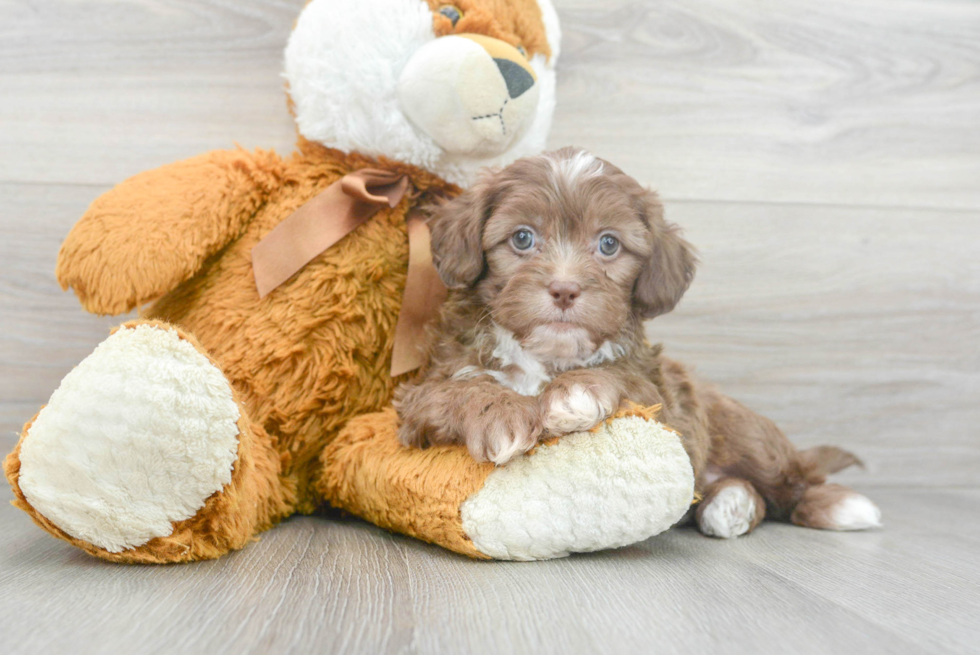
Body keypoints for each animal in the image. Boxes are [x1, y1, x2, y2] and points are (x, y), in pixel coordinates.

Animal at [394, 149, 884, 540]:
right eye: (522, 238)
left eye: (609, 244)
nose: (564, 289)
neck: (546, 356)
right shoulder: (417, 399)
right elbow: (456, 388)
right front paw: (502, 415)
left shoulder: (659, 396)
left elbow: (620, 375)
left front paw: (575, 392)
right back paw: (730, 505)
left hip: (743, 432)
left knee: (791, 479)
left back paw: (838, 505)